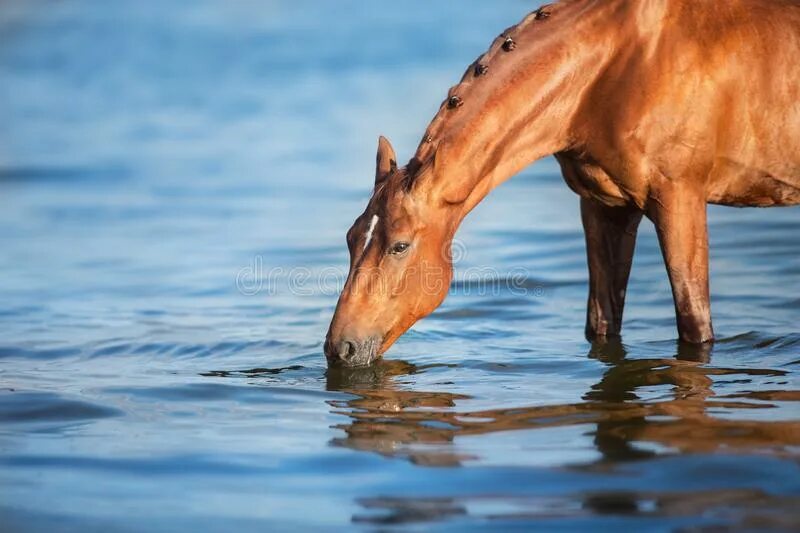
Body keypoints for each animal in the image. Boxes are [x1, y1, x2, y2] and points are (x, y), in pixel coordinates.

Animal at [322, 0, 796, 366]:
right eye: (350, 238)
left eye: (400, 245)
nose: (338, 349)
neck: (615, 67)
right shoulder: (605, 207)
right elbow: (602, 325)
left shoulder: (679, 199)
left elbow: (694, 326)